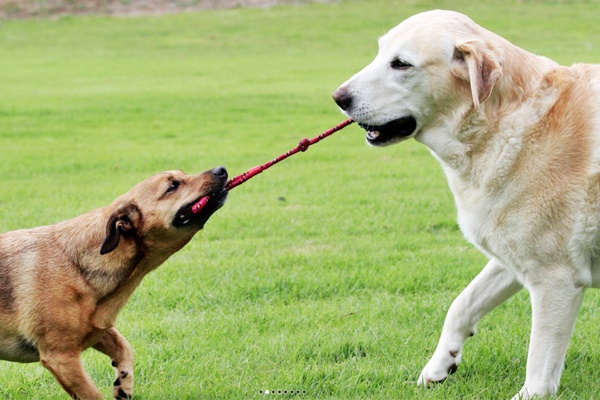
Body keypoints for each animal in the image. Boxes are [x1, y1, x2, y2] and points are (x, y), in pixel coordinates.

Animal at [0, 166, 229, 396]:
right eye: (172, 185)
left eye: (182, 173)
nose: (221, 170)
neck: (78, 265)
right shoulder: (62, 357)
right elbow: (93, 394)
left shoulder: (98, 328)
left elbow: (124, 347)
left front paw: (123, 383)